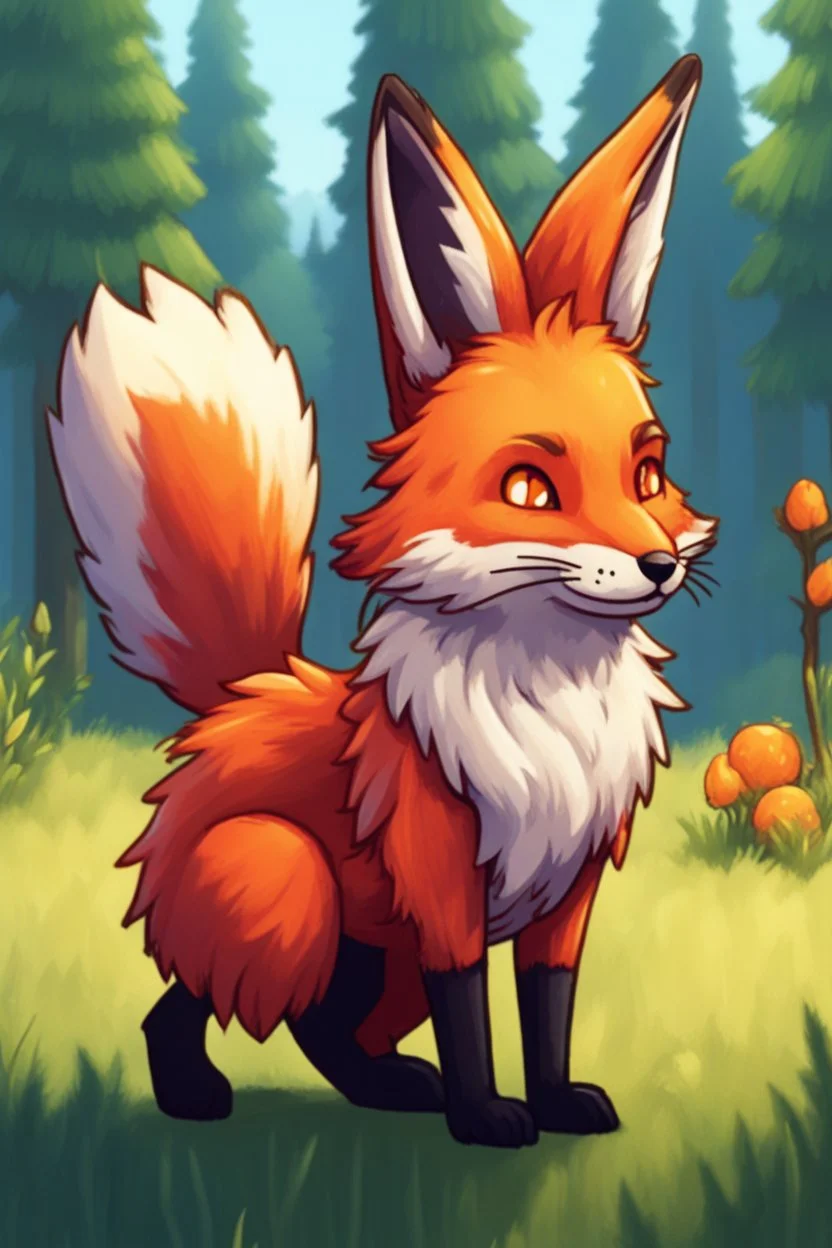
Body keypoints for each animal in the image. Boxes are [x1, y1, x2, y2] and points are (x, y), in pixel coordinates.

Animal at [48, 54, 716, 1149]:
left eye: (648, 473)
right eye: (530, 488)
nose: (659, 565)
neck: (548, 707)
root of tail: (243, 695)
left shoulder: (566, 887)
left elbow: (548, 1005)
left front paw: (553, 1102)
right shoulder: (437, 875)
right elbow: (469, 1006)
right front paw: (485, 1118)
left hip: (365, 952)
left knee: (324, 1025)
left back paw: (389, 1086)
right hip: (290, 885)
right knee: (188, 999)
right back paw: (193, 1093)